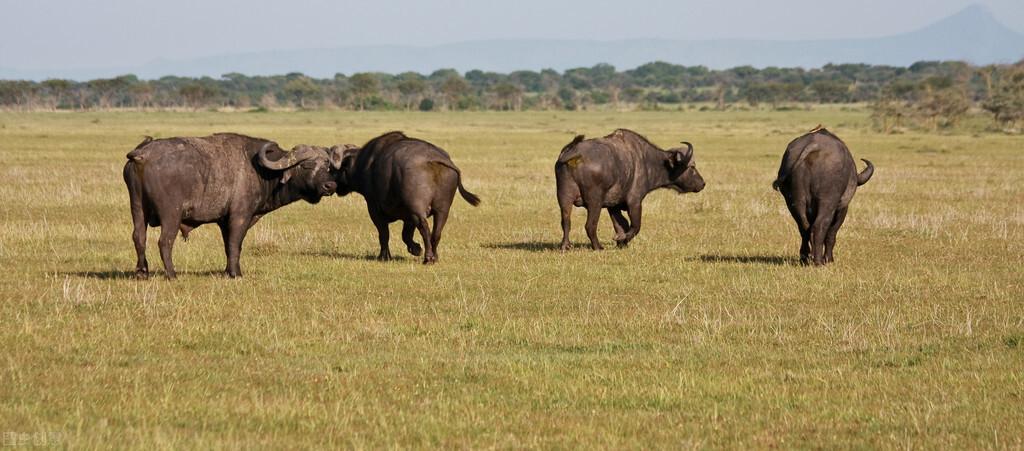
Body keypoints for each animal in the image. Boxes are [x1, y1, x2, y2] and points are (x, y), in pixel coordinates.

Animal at [123, 132, 344, 276]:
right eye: (307, 165)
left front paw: (228, 270)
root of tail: (143, 155)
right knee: (165, 241)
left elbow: (228, 246)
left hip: (137, 209)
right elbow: (235, 244)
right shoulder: (240, 216)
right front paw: (236, 273)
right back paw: (171, 274)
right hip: (172, 215)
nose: (330, 185)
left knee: (138, 237)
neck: (262, 170)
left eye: (327, 165)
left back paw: (142, 272)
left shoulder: (224, 221)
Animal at [333, 130, 481, 264]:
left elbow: (384, 234)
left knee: (424, 228)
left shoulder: (374, 210)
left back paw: (428, 258)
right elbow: (406, 235)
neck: (364, 164)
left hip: (417, 210)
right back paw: (435, 256)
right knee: (436, 233)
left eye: (333, 169)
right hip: (442, 210)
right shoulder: (408, 217)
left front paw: (384, 256)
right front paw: (416, 249)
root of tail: (435, 158)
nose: (330, 186)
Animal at [557, 128, 708, 250]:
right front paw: (621, 239)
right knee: (590, 225)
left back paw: (565, 246)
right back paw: (598, 247)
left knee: (566, 222)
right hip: (595, 202)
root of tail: (574, 153)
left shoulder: (613, 206)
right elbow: (635, 226)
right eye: (692, 167)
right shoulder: (635, 202)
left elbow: (621, 224)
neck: (646, 161)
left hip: (564, 198)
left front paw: (622, 243)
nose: (702, 183)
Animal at [774, 125, 872, 266]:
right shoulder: (842, 209)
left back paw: (805, 258)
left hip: (794, 202)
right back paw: (819, 261)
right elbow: (831, 234)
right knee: (819, 226)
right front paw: (829, 259)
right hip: (827, 201)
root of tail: (813, 145)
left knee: (804, 227)